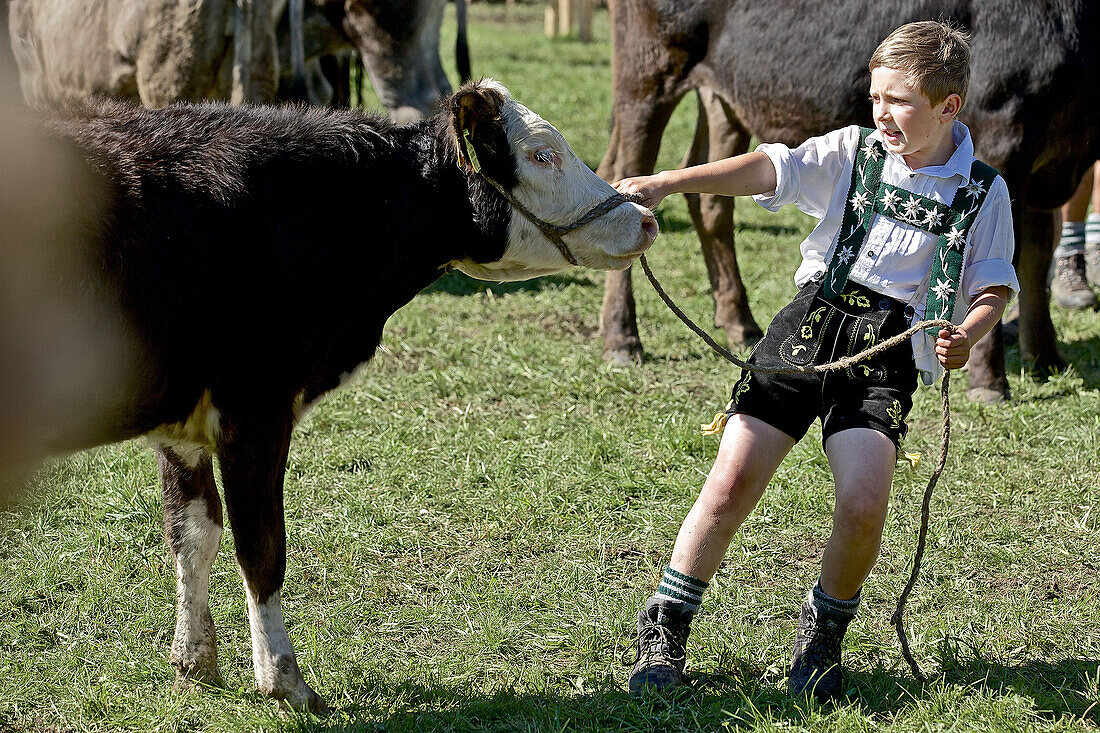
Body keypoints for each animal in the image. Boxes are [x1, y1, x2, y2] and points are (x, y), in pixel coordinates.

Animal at [30, 78, 655, 708]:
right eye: (542, 154)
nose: (646, 216)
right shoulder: (255, 407)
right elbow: (261, 546)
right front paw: (283, 678)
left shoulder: (183, 420)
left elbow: (193, 533)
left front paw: (194, 659)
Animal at [602, 0, 1100, 400]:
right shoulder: (1004, 132)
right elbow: (1007, 262)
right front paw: (990, 382)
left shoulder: (1050, 159)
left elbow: (1034, 256)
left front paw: (1047, 358)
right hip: (648, 72)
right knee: (622, 174)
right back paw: (622, 337)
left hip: (724, 97)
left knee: (710, 202)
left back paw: (739, 322)